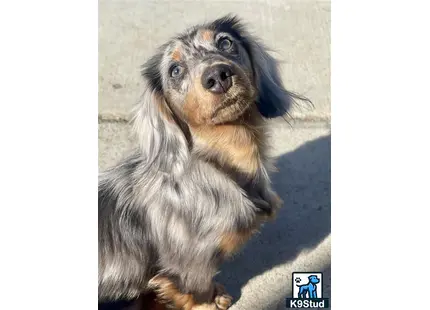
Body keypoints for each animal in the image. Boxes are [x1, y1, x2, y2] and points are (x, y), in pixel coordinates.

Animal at [100, 15, 310, 310]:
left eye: (225, 42)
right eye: (175, 70)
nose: (217, 76)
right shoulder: (191, 264)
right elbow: (197, 287)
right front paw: (211, 301)